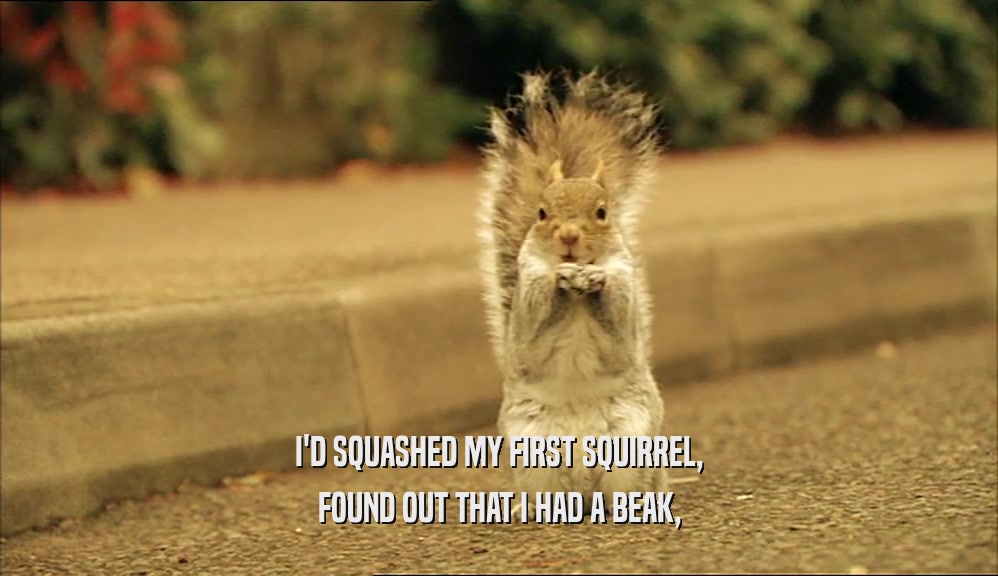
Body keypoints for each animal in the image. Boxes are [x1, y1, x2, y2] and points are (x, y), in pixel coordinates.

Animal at [477, 70, 668, 517]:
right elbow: (536, 324)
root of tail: (583, 490)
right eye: (542, 213)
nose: (567, 236)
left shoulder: (625, 295)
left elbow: (617, 324)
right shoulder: (526, 302)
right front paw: (560, 280)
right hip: (532, 453)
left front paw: (596, 281)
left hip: (631, 446)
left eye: (602, 212)